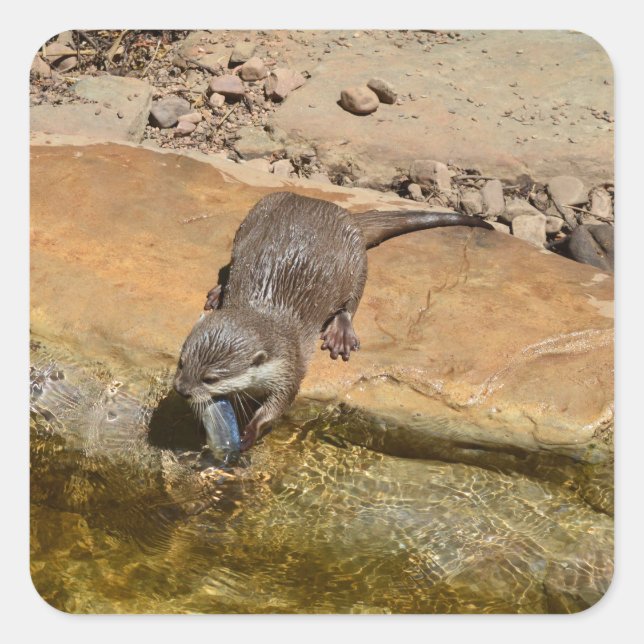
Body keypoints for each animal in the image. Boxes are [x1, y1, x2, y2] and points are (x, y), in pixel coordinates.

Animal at [174, 191, 493, 451]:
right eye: (181, 363)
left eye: (210, 378)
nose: (181, 389)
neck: (263, 311)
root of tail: (338, 210)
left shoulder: (290, 366)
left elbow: (279, 405)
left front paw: (250, 431)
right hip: (250, 220)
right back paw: (219, 291)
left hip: (357, 260)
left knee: (351, 302)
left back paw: (341, 333)